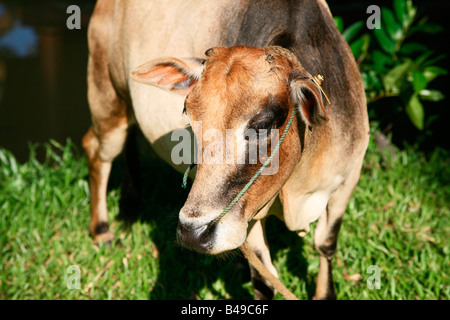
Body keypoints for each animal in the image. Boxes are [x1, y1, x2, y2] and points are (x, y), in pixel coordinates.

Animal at [81, 0, 370, 300]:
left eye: (262, 125)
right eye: (189, 116)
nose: (192, 233)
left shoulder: (348, 179)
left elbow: (325, 244)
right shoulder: (248, 214)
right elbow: (264, 279)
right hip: (107, 100)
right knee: (95, 149)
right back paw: (102, 230)